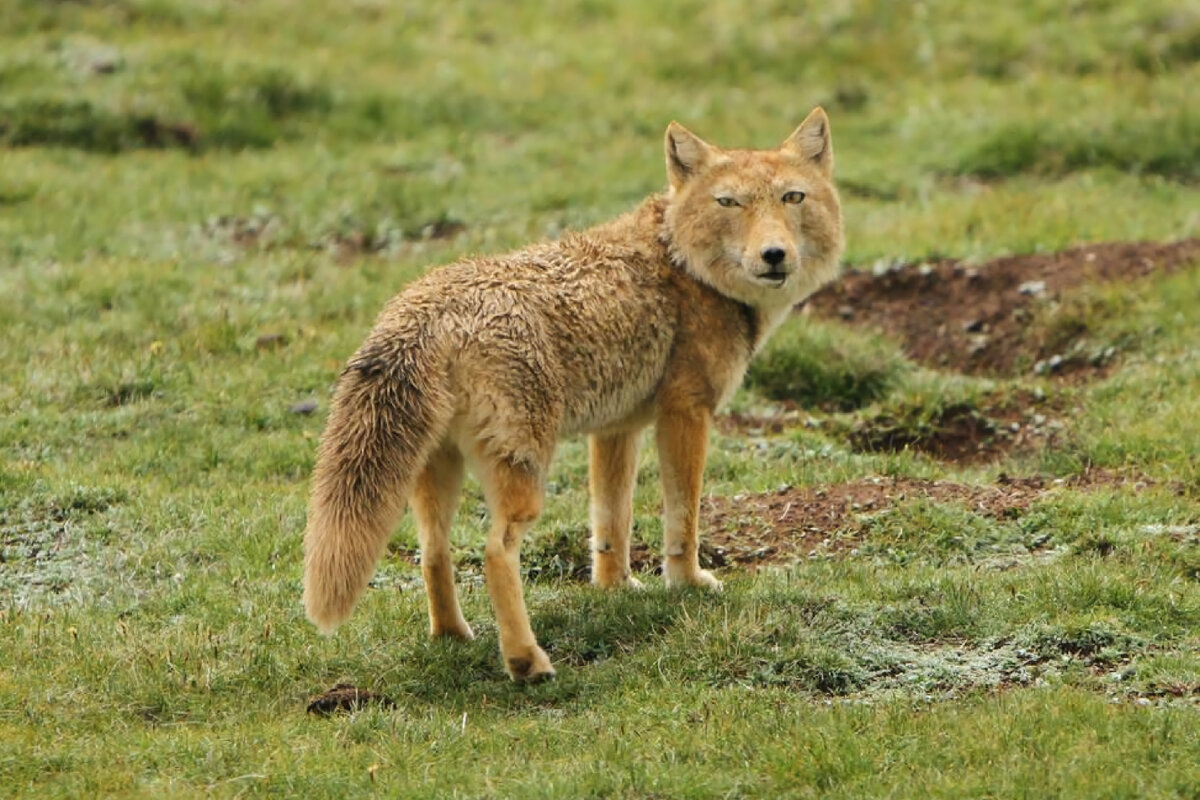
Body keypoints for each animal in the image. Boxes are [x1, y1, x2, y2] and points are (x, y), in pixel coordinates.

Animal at [300, 106, 844, 681]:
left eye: (792, 197)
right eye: (729, 202)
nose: (774, 255)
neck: (682, 262)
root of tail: (424, 307)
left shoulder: (617, 429)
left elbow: (611, 522)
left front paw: (615, 588)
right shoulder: (686, 413)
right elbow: (684, 518)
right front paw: (688, 584)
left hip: (437, 475)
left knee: (435, 553)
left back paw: (453, 635)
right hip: (523, 478)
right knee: (494, 553)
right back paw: (526, 662)